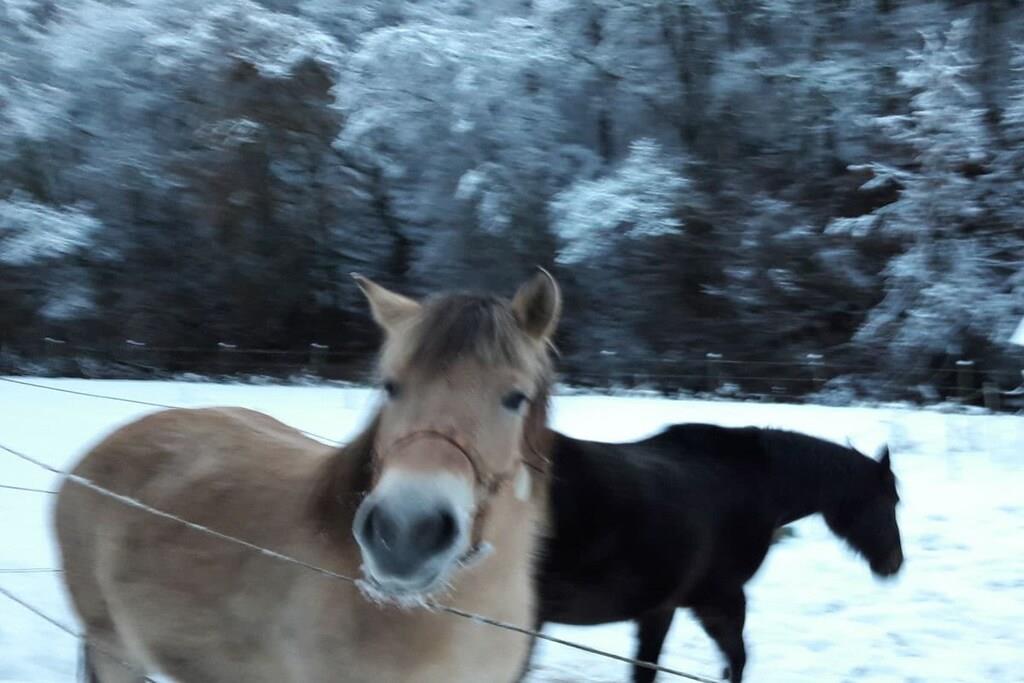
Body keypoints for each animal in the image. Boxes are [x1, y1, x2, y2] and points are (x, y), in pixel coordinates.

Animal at [532, 423, 904, 683]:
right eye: (891, 501)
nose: (895, 563)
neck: (755, 483)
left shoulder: (661, 608)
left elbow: (646, 667)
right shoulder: (720, 598)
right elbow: (737, 660)